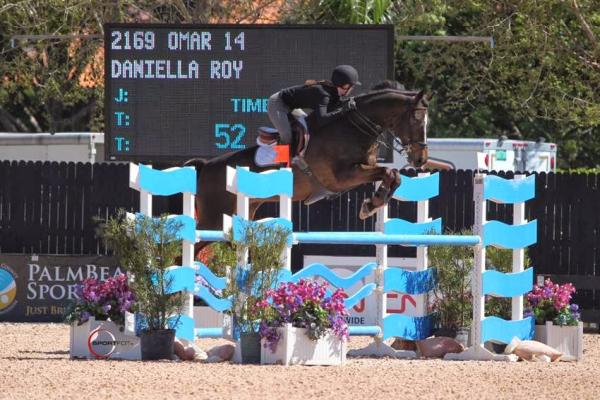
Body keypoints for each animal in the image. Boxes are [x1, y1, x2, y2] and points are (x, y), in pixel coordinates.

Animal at [188, 85, 426, 244]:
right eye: (416, 118)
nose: (421, 159)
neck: (352, 129)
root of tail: (206, 165)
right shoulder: (341, 177)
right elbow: (388, 171)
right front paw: (371, 204)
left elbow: (394, 175)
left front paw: (373, 203)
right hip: (213, 219)